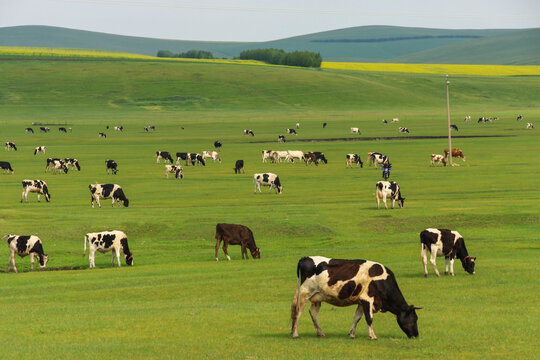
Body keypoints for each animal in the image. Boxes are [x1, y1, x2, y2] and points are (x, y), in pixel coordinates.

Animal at [292, 256, 422, 340]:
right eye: (414, 318)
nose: (416, 335)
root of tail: (305, 257)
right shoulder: (367, 299)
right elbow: (369, 318)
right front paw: (372, 336)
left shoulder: (361, 301)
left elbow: (357, 318)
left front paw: (351, 334)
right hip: (304, 293)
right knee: (297, 312)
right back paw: (295, 334)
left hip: (317, 297)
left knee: (313, 313)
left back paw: (320, 333)